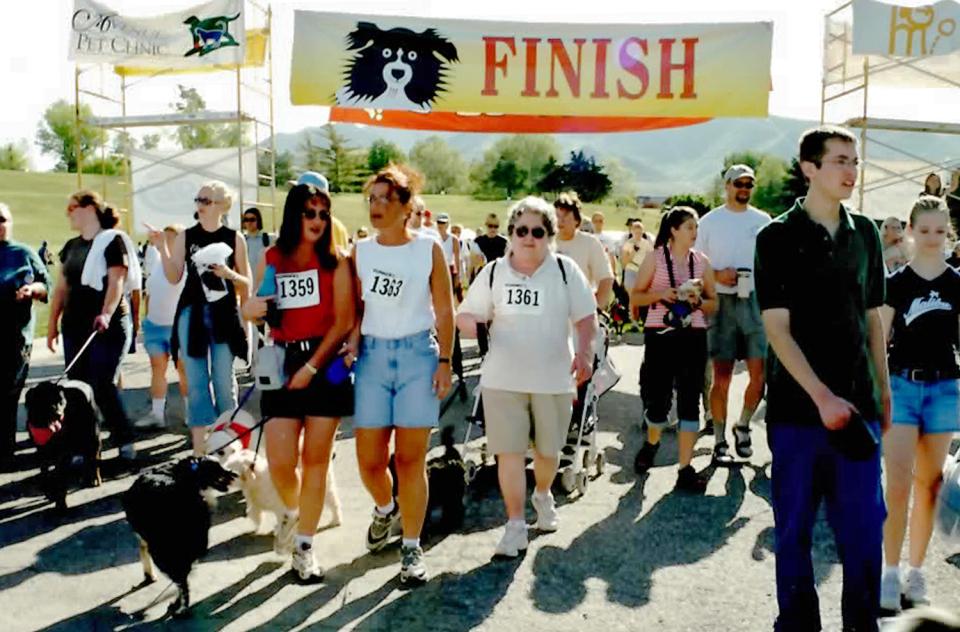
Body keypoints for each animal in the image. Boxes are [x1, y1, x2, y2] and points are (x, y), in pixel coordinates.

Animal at [24, 380, 101, 508]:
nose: (59, 414)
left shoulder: (62, 454)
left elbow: (60, 478)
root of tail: (85, 385)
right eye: (46, 401)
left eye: (61, 402)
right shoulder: (42, 451)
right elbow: (45, 473)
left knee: (94, 456)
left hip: (91, 436)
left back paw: (95, 478)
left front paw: (60, 505)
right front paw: (49, 492)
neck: (46, 429)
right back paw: (86, 478)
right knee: (85, 457)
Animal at [124, 456, 236, 620]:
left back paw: (182, 609)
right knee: (183, 578)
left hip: (163, 550)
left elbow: (143, 551)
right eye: (218, 468)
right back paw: (178, 605)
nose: (234, 474)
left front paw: (149, 576)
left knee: (180, 579)